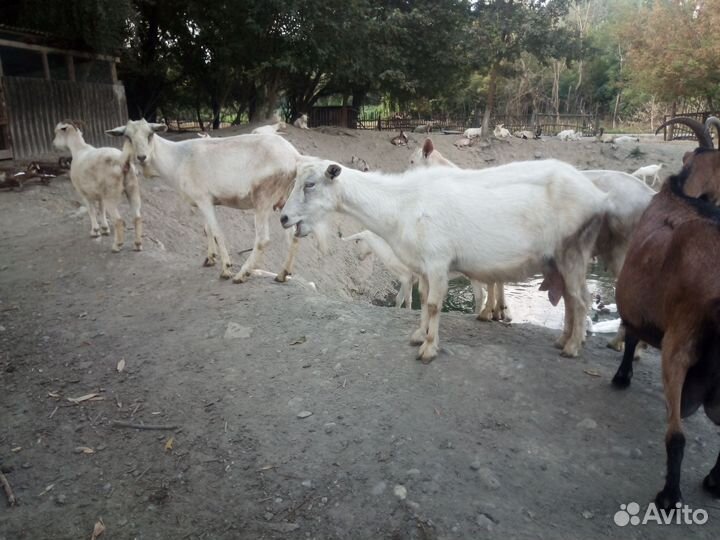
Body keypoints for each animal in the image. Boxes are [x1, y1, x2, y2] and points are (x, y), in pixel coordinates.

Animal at [53, 120, 142, 252]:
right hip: (132, 188)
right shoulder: (100, 195)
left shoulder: (83, 192)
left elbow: (91, 210)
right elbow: (101, 209)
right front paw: (105, 229)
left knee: (119, 221)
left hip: (111, 194)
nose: (54, 144)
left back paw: (117, 245)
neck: (79, 149)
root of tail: (123, 161)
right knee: (137, 217)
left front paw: (95, 231)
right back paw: (138, 244)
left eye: (58, 132)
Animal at [107, 119, 302, 283]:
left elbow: (216, 231)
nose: (141, 157)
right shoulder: (203, 201)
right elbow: (207, 230)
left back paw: (241, 275)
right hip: (287, 199)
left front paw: (226, 269)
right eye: (127, 137)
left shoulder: (204, 199)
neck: (177, 159)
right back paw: (282, 274)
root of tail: (295, 156)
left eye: (150, 134)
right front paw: (210, 258)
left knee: (263, 239)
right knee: (293, 235)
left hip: (263, 199)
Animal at [280, 159, 607, 362]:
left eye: (310, 184)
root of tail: (597, 196)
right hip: (563, 259)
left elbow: (435, 305)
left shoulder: (438, 261)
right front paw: (418, 335)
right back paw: (562, 340)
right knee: (571, 299)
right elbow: (424, 301)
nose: (283, 218)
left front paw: (428, 349)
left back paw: (572, 347)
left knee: (581, 299)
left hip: (574, 250)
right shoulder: (424, 266)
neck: (401, 205)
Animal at [611, 115, 720, 509]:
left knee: (676, 435)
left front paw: (622, 376)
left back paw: (669, 495)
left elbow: (631, 333)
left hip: (679, 344)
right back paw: (712, 481)